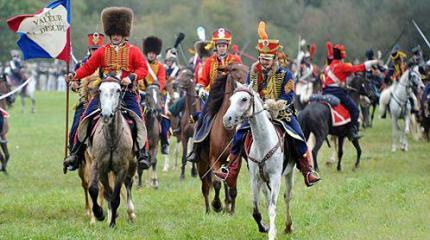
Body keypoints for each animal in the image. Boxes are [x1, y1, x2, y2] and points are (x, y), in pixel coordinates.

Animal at [196, 62, 247, 213]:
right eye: (235, 71)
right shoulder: (214, 160)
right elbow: (216, 183)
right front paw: (216, 205)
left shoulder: (235, 161)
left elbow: (232, 187)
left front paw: (231, 210)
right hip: (202, 164)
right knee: (205, 187)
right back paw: (208, 209)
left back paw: (227, 205)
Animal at [222, 84, 296, 240]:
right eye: (231, 99)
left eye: (244, 99)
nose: (227, 119)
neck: (264, 143)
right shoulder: (255, 179)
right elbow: (256, 210)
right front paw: (265, 227)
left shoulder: (275, 178)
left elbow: (273, 207)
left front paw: (272, 233)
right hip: (263, 181)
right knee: (267, 199)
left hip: (289, 174)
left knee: (287, 197)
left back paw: (288, 226)